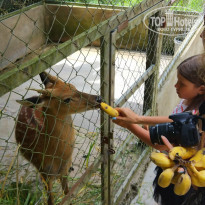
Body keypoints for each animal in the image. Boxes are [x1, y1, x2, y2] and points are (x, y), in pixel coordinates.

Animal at [14, 71, 101, 204]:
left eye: (73, 86)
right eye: (67, 99)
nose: (98, 98)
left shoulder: (63, 171)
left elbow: (67, 194)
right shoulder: (45, 173)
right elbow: (51, 199)